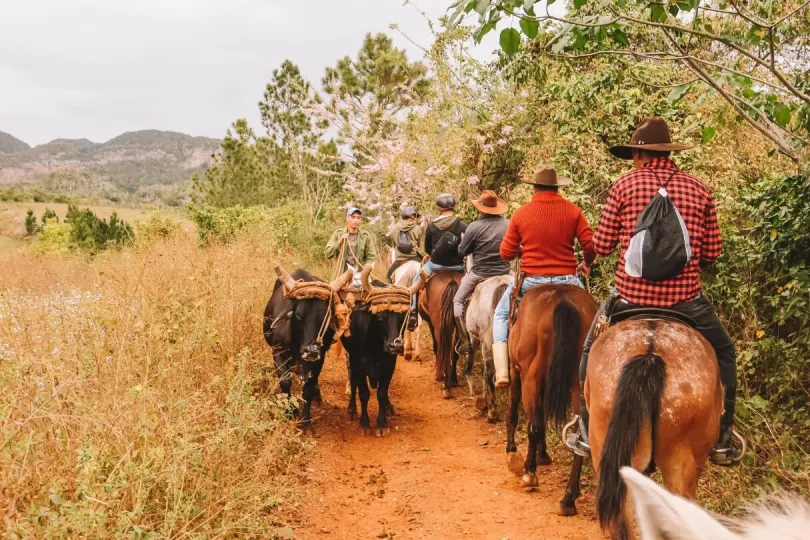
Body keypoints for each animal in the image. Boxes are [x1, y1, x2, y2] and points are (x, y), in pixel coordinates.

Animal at [504, 284, 592, 492]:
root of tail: (563, 300)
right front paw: (543, 454)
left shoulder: (515, 369)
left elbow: (514, 410)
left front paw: (511, 449)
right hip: (579, 382)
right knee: (578, 435)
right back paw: (570, 493)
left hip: (530, 376)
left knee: (533, 425)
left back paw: (529, 472)